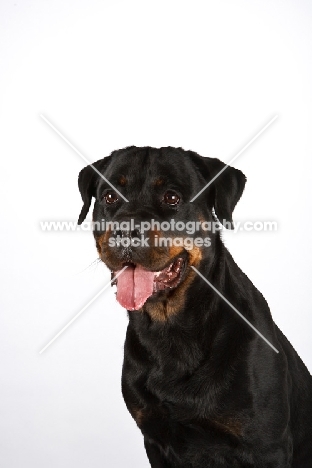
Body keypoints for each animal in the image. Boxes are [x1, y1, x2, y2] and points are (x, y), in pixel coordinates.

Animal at [77, 147, 312, 468]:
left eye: (172, 197)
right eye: (110, 196)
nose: (126, 230)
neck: (171, 330)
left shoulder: (267, 446)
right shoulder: (155, 439)